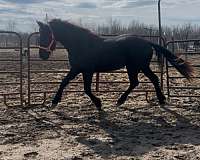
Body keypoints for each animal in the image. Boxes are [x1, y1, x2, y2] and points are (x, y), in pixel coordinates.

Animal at [36, 18, 193, 110]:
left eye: (47, 35)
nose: (42, 55)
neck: (82, 44)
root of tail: (147, 42)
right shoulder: (76, 68)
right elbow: (64, 82)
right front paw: (54, 101)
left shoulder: (87, 70)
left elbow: (86, 89)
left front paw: (99, 104)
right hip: (137, 67)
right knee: (143, 81)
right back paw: (159, 100)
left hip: (137, 66)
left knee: (141, 81)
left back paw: (122, 100)